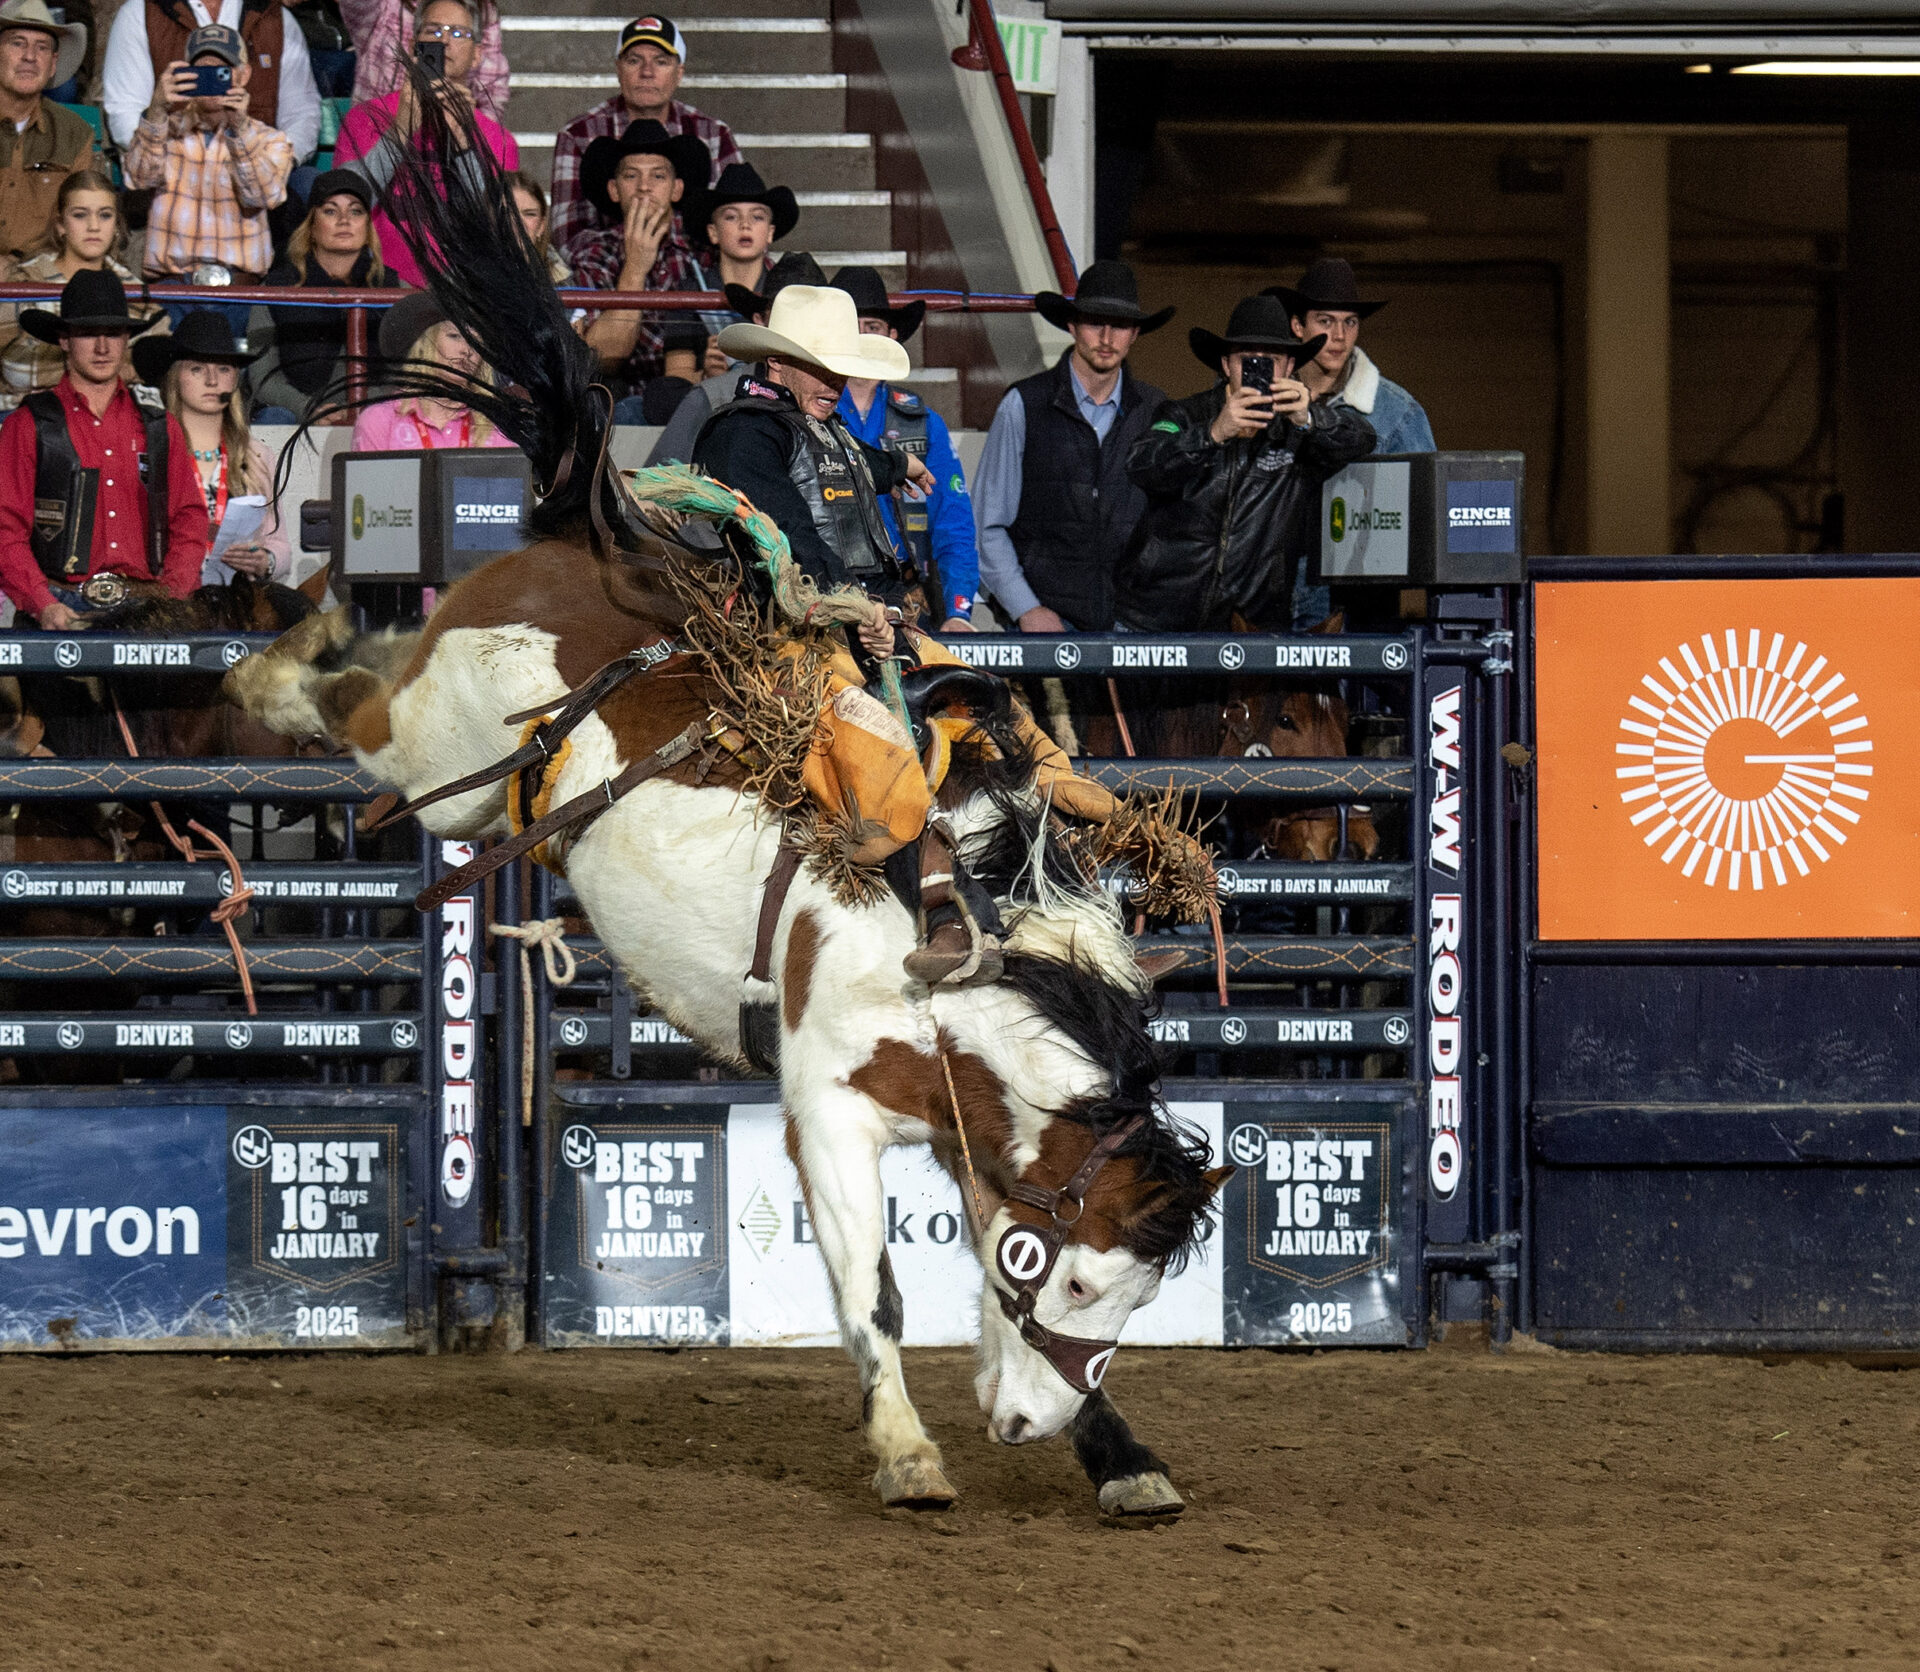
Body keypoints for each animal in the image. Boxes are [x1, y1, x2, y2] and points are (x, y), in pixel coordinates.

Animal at [220, 91, 1228, 1528]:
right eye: (1084, 1275)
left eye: (1135, 1295)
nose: (1032, 1427)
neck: (953, 954)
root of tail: (585, 536)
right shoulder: (829, 1113)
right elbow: (875, 1291)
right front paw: (908, 1452)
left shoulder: (968, 1127)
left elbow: (974, 1262)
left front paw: (1119, 1452)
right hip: (434, 758)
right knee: (356, 706)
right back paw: (274, 658)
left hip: (465, 789)